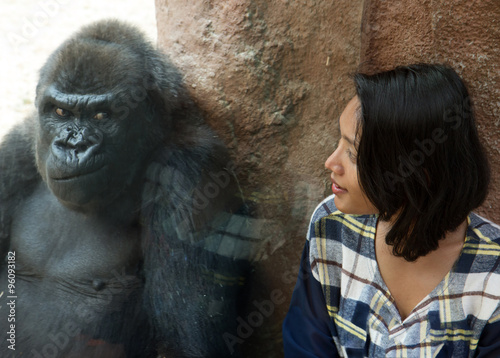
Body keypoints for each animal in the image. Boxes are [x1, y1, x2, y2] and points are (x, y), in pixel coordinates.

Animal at [0, 20, 250, 358]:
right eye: (61, 112)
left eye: (102, 115)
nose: (72, 147)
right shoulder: (16, 152)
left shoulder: (188, 175)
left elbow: (188, 342)